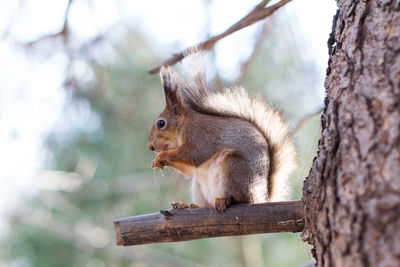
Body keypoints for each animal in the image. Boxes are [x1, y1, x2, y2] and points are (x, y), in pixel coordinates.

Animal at [148, 67, 296, 214]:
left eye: (161, 123)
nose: (150, 147)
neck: (184, 124)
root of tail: (259, 197)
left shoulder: (200, 136)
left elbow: (194, 155)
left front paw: (162, 156)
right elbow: (189, 169)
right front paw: (157, 161)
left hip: (233, 167)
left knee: (241, 199)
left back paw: (225, 200)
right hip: (199, 186)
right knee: (206, 203)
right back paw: (189, 205)